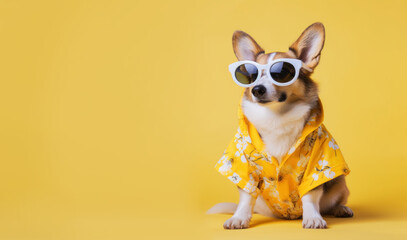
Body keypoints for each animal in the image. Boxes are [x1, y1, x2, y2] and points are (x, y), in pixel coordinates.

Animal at [209, 22, 352, 229]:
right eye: (252, 75)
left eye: (282, 73)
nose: (257, 89)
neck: (276, 116)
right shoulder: (245, 168)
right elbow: (246, 197)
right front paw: (239, 218)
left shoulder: (316, 166)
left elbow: (310, 196)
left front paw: (313, 218)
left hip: (340, 182)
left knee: (333, 202)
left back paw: (341, 209)